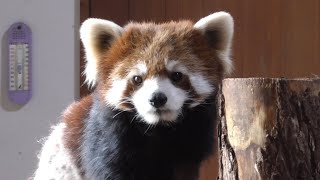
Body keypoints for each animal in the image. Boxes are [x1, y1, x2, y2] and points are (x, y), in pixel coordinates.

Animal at [32, 11, 234, 180]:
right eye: (137, 79)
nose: (157, 98)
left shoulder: (188, 149)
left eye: (176, 75)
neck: (157, 130)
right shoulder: (104, 144)